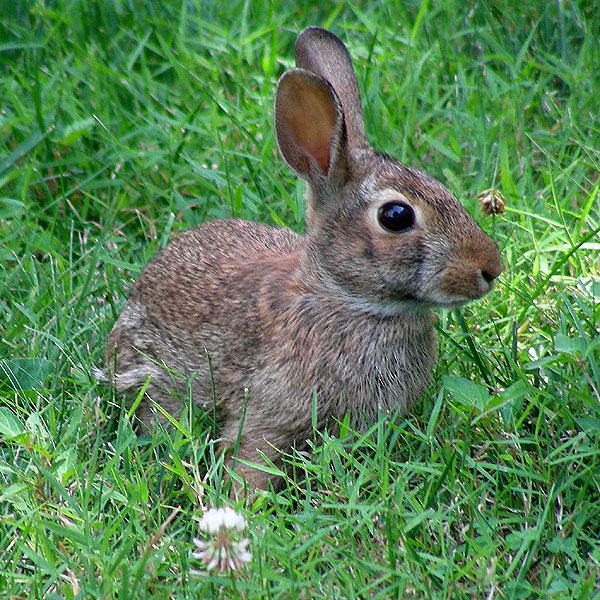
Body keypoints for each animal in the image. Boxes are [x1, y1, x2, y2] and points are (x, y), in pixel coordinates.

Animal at [103, 27, 502, 492]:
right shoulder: (268, 415)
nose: (491, 268)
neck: (347, 301)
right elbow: (252, 459)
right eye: (396, 216)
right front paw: (243, 502)